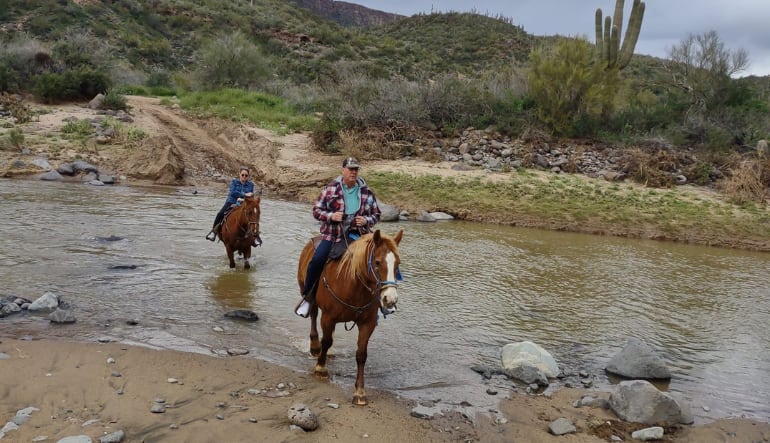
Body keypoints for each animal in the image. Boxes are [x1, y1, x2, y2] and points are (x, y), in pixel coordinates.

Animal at [296, 229, 404, 406]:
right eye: (377, 262)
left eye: (398, 264)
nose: (390, 299)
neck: (353, 285)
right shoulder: (328, 317)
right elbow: (326, 341)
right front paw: (321, 369)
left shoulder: (368, 323)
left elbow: (361, 354)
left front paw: (359, 392)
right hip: (310, 296)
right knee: (313, 315)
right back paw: (315, 346)